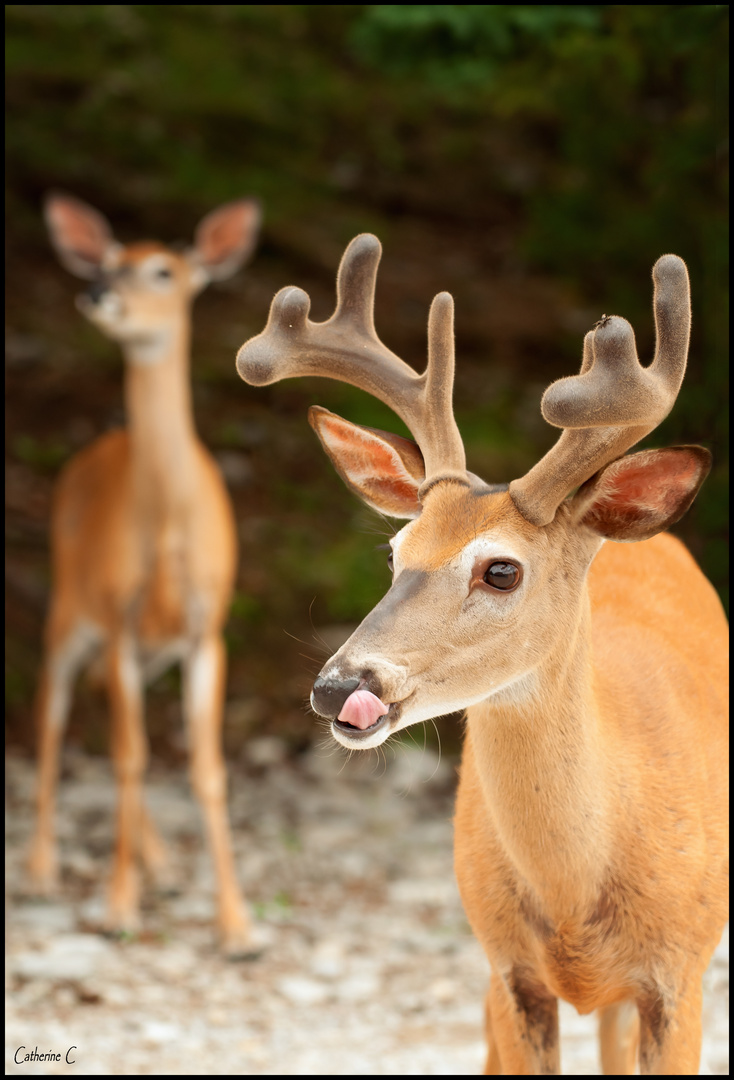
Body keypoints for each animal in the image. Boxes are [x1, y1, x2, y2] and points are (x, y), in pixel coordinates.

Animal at [27, 192, 262, 954]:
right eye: (104, 261)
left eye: (163, 270)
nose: (97, 292)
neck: (165, 530)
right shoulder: (121, 620)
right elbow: (129, 756)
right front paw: (116, 905)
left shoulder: (206, 630)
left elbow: (208, 770)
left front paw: (238, 925)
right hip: (70, 613)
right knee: (52, 719)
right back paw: (41, 867)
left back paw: (160, 863)